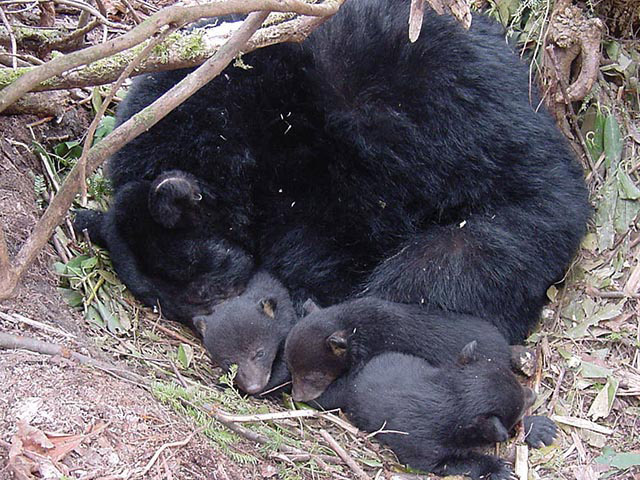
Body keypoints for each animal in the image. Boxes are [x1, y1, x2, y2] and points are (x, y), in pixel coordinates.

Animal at [79, 0, 592, 344]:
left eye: (209, 285)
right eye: (173, 304)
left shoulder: (316, 161)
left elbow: (322, 238)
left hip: (510, 201)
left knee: (442, 267)